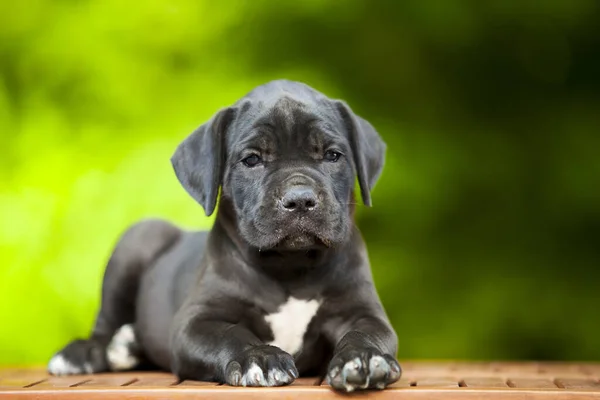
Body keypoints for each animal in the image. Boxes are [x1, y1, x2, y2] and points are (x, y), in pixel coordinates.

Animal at [48, 79, 404, 392]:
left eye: (332, 155)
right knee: (104, 323)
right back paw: (85, 353)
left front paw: (364, 359)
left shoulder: (362, 312)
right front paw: (258, 358)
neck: (290, 268)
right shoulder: (196, 322)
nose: (300, 199)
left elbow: (367, 334)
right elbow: (230, 334)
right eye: (252, 159)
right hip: (139, 238)